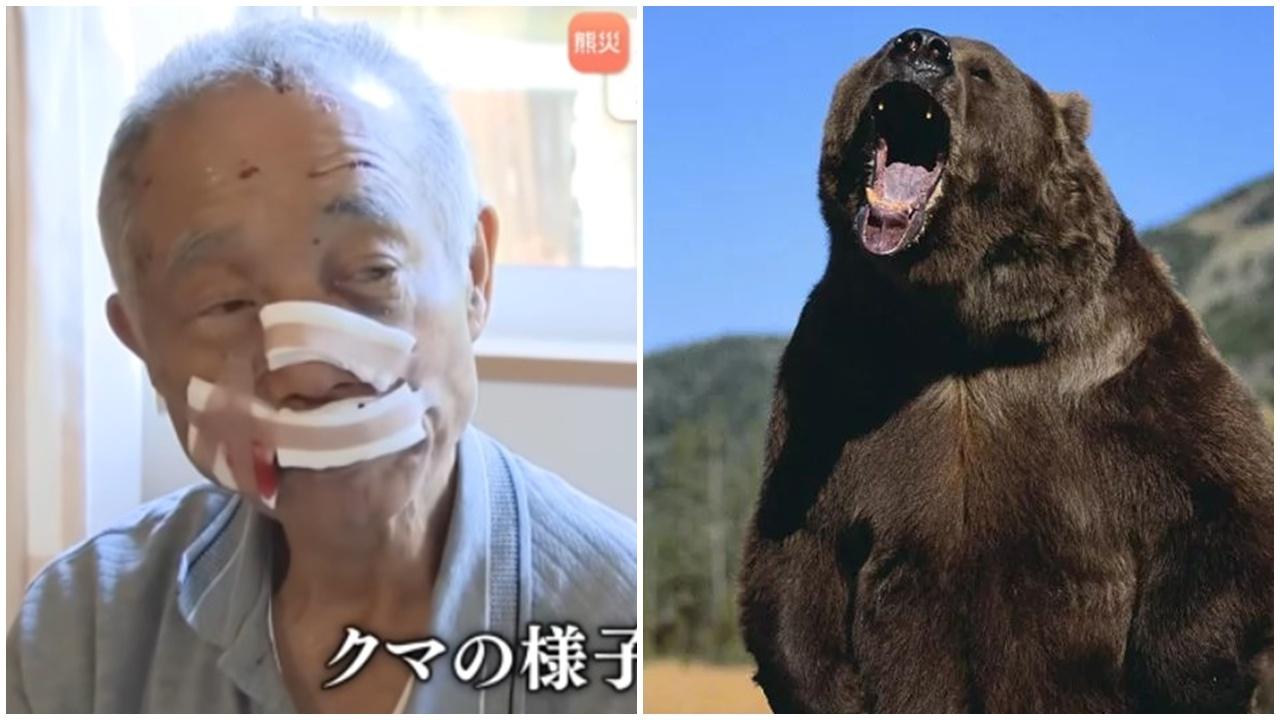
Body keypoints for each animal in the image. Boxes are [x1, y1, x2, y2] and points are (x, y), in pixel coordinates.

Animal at [738, 28, 1273, 713]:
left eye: (984, 71)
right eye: (881, 49)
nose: (920, 45)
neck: (957, 328)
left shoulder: (1126, 365)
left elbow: (1220, 501)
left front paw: (1185, 677)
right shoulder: (832, 380)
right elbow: (799, 546)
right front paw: (825, 688)